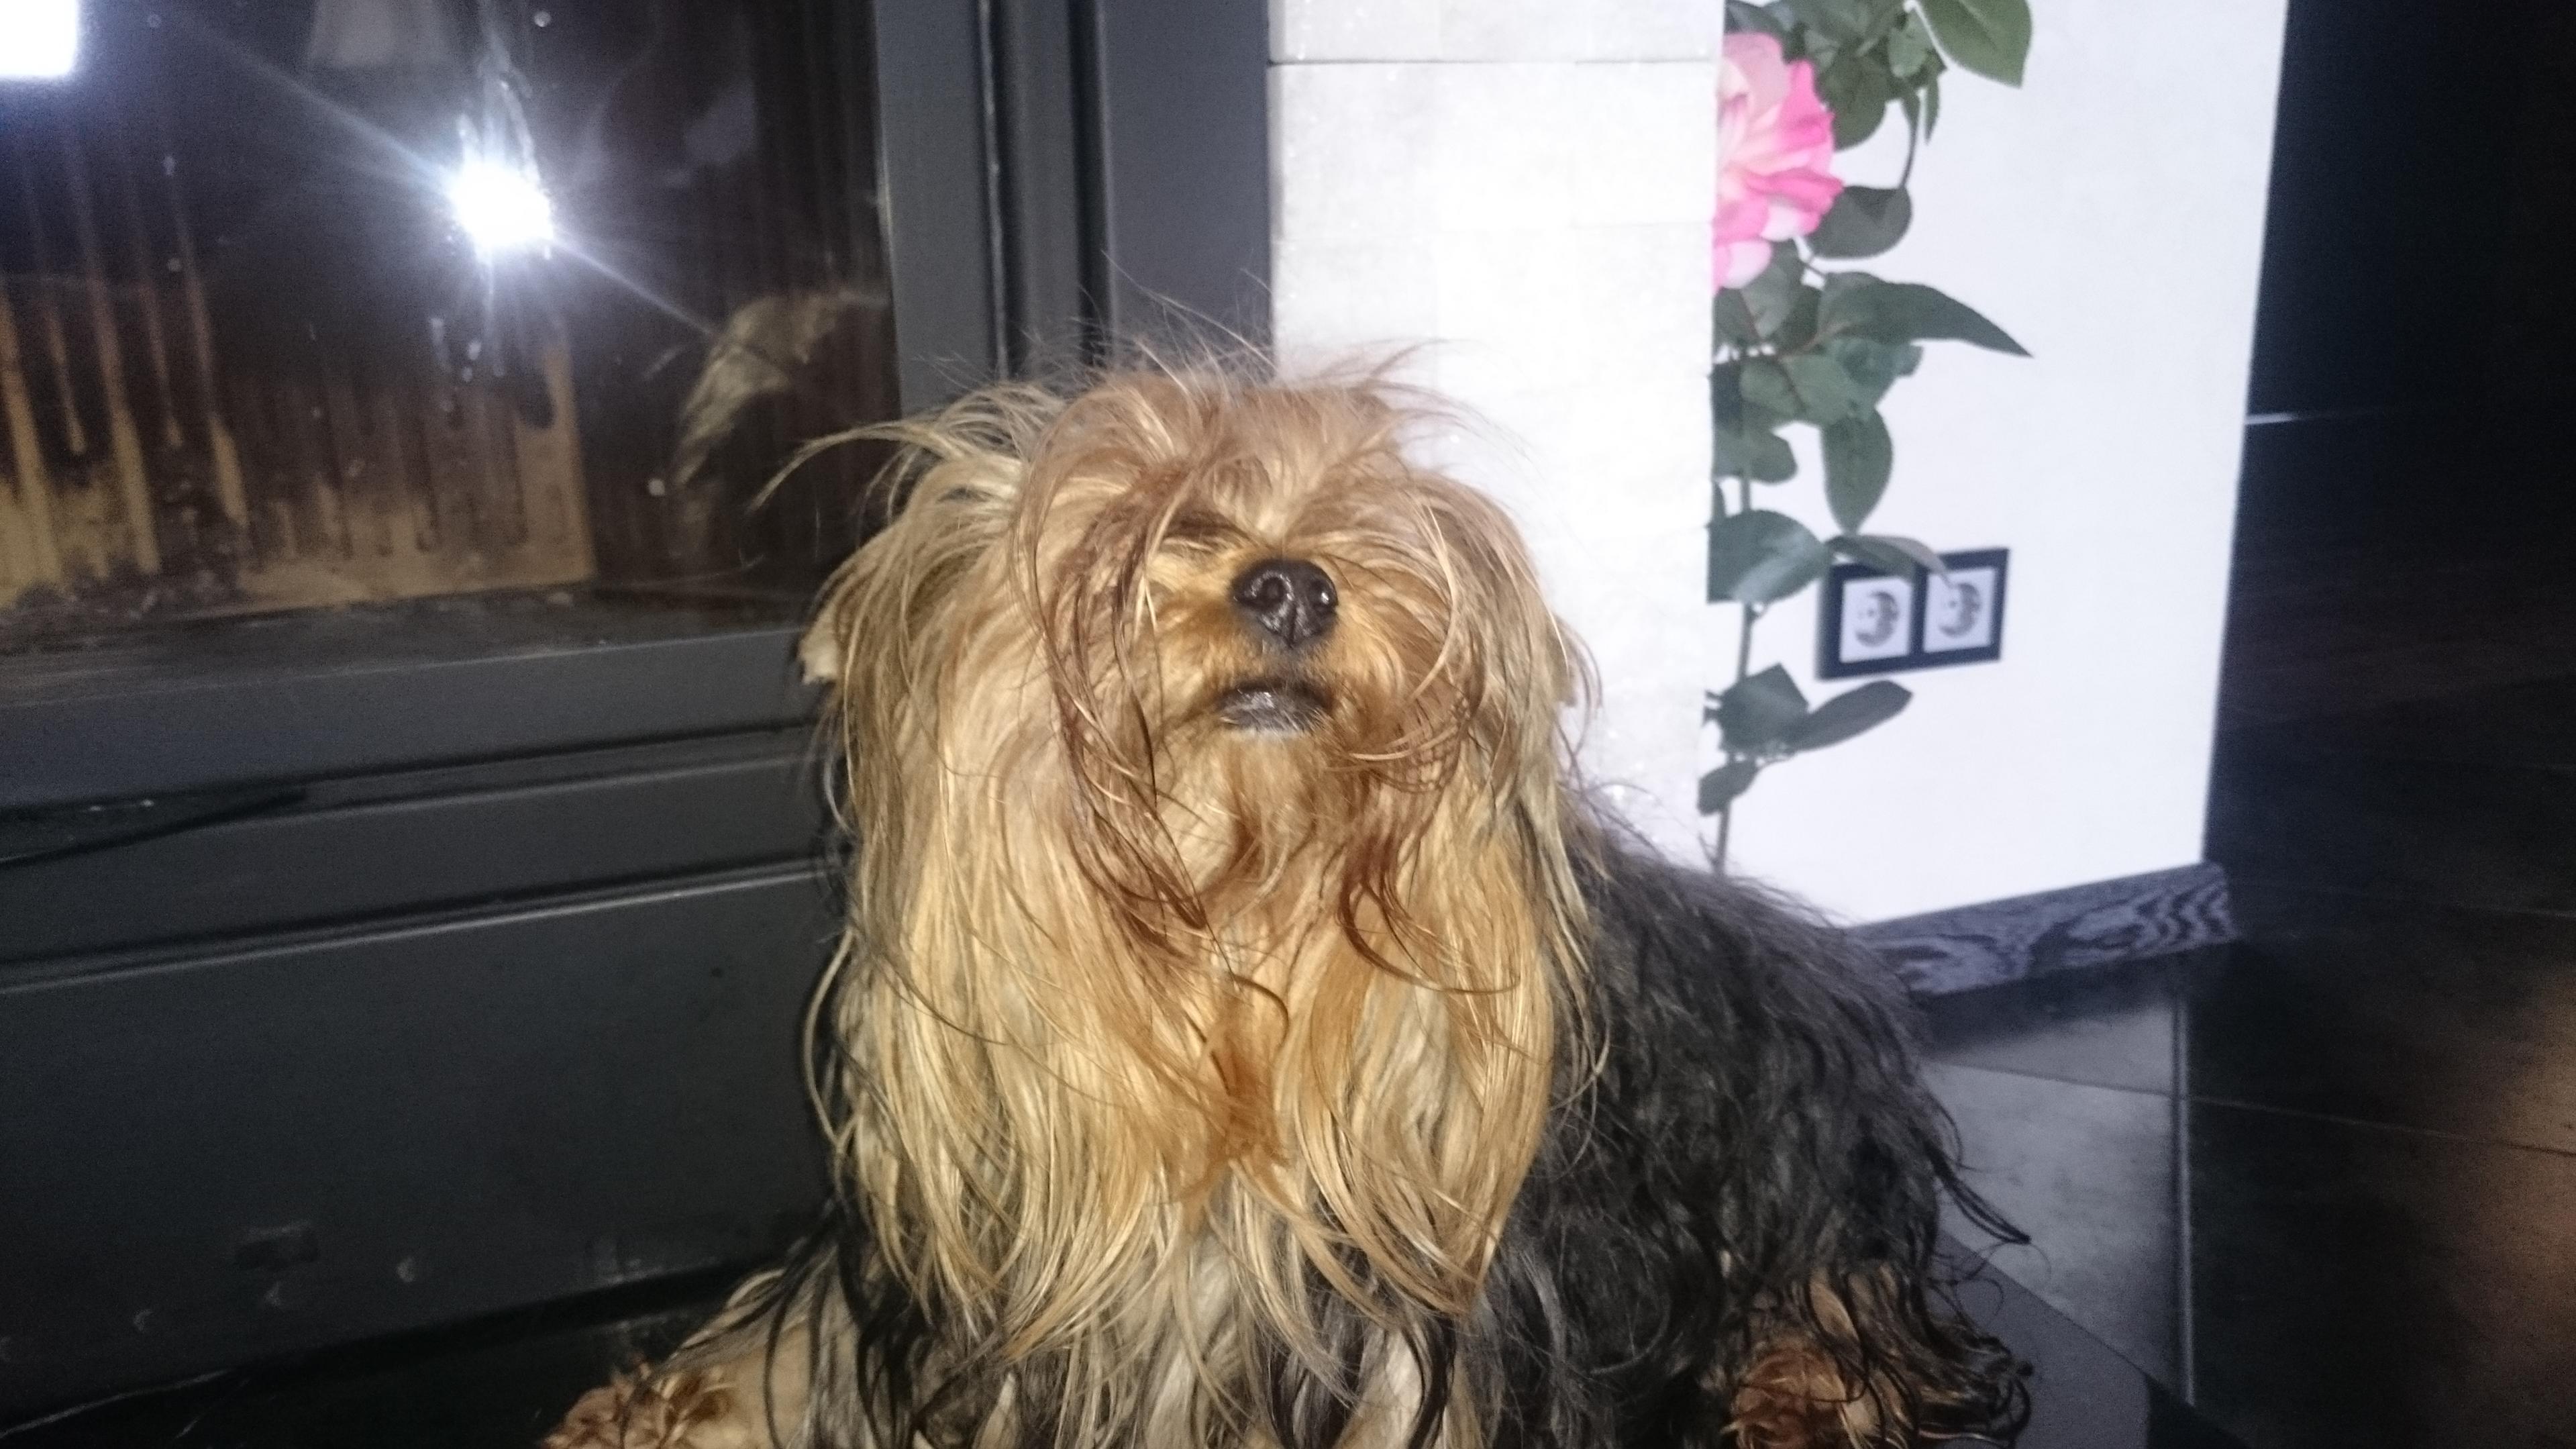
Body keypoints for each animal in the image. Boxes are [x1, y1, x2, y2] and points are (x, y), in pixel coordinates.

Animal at [547, 369, 2026, 1449]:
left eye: (1359, 527)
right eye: (1151, 523)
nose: (1290, 580)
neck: (1229, 949)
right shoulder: (932, 1282)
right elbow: (793, 1334)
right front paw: (657, 1402)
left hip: (1795, 1149)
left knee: (1841, 1297)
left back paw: (1794, 1393)